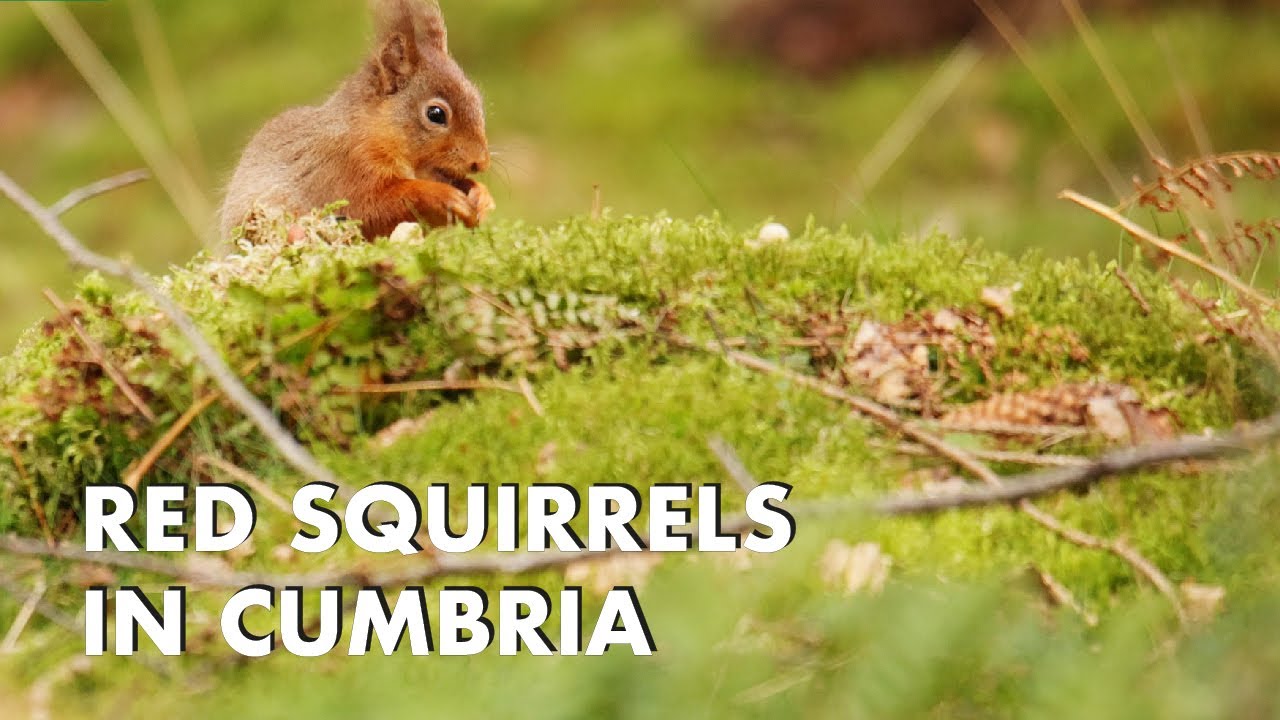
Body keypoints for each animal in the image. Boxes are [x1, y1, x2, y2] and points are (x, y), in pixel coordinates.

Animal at [218, 0, 494, 240]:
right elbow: (372, 205)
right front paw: (443, 196)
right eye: (436, 114)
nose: (480, 163)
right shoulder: (344, 168)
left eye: (477, 98)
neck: (370, 129)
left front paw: (482, 198)